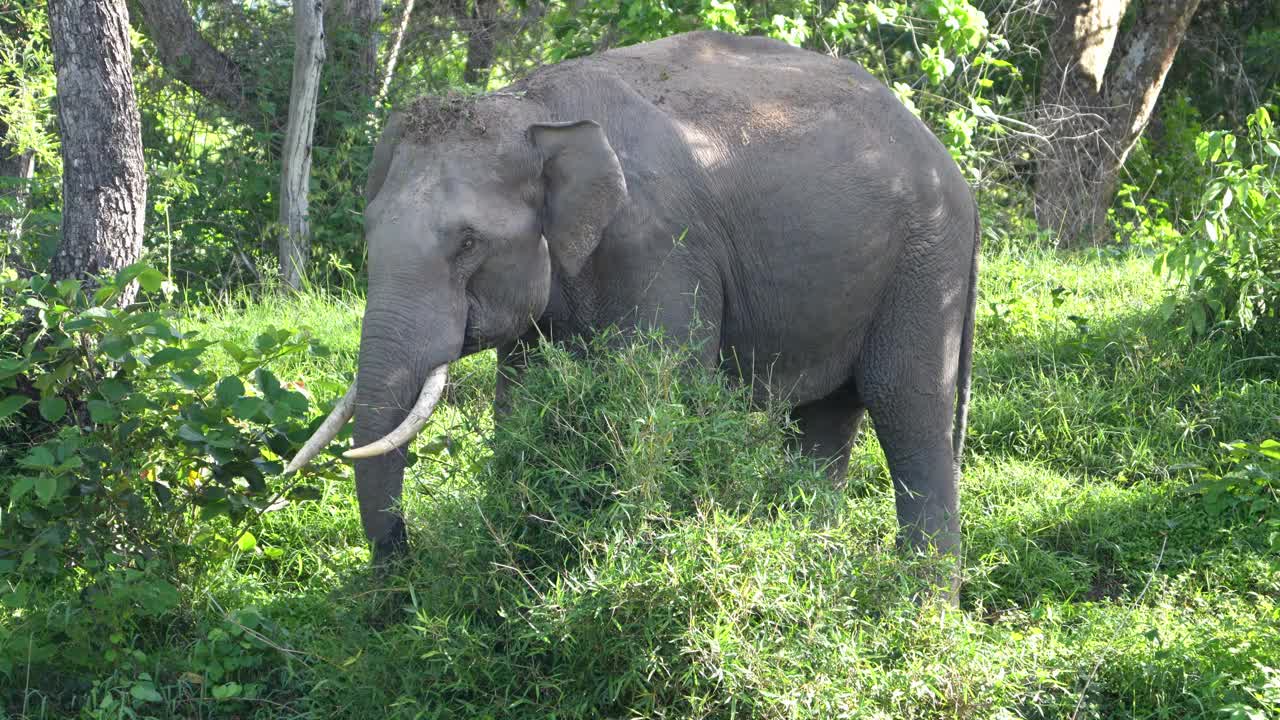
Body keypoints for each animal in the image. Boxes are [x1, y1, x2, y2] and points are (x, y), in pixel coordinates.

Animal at [288, 30, 977, 586]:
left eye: (468, 243)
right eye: (368, 233)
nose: (399, 580)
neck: (530, 110)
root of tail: (953, 169)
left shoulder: (661, 248)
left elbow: (656, 397)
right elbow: (522, 404)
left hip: (925, 261)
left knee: (906, 405)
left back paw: (922, 615)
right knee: (824, 422)